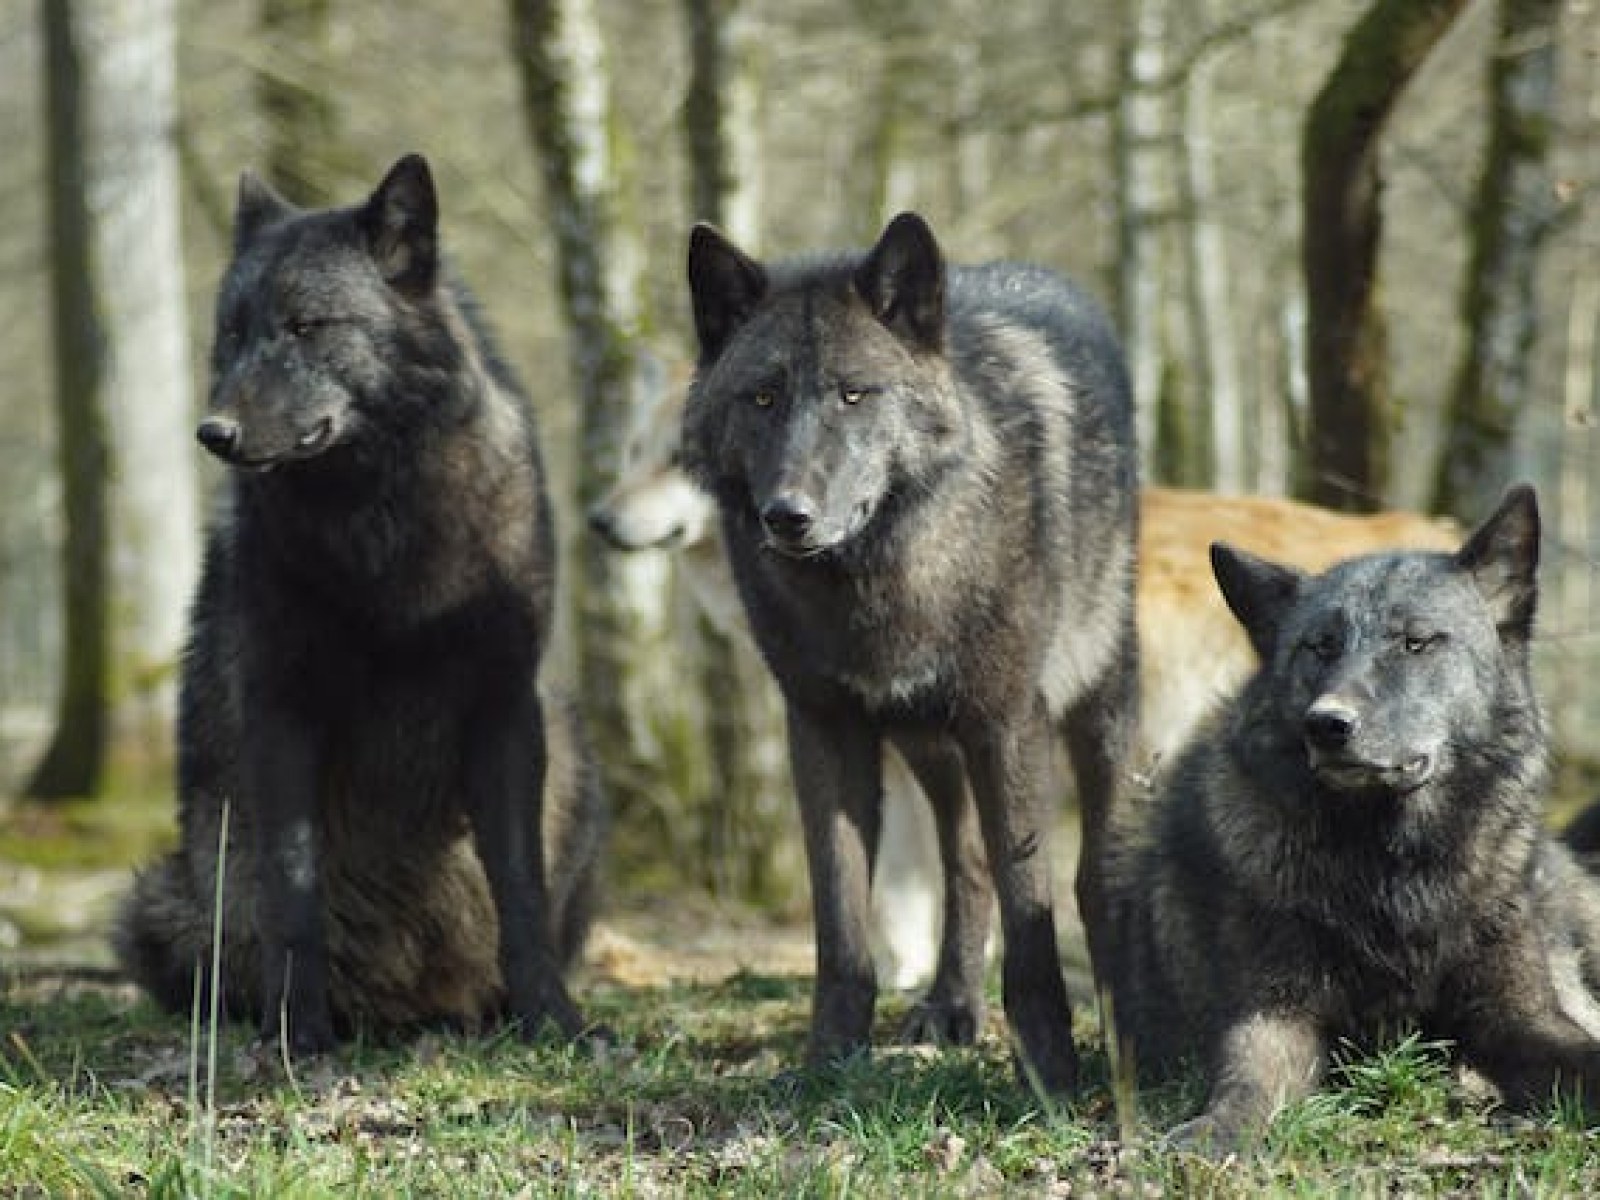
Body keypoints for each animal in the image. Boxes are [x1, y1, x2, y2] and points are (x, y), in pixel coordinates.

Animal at [114, 155, 605, 1052]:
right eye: (231, 334)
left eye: (307, 326)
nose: (213, 432)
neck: (383, 523)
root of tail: (406, 1008)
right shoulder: (282, 712)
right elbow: (294, 890)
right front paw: (297, 1032)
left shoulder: (505, 707)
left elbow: (519, 888)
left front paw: (553, 1019)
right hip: (162, 901)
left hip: (577, 758)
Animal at [681, 212, 1140, 1091]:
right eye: (762, 396)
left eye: (854, 394)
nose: (787, 514)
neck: (878, 583)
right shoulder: (824, 730)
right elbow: (840, 921)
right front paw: (829, 1062)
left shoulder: (1006, 725)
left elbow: (1031, 908)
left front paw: (1050, 1071)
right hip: (928, 745)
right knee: (964, 863)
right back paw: (952, 1005)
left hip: (1094, 710)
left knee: (1092, 871)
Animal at [1106, 486, 1600, 1149]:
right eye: (1319, 646)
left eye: (1416, 642)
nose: (1327, 724)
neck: (1393, 872)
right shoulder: (1275, 1015)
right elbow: (1246, 1082)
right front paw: (1213, 1133)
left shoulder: (1521, 1018)